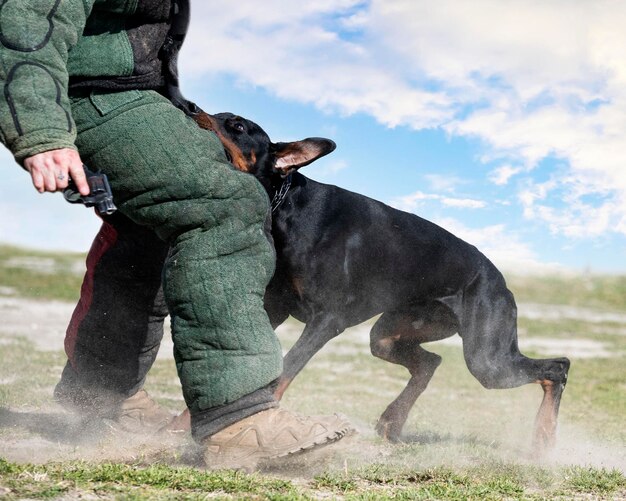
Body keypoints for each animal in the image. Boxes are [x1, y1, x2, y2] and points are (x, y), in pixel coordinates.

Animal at [178, 112, 568, 450]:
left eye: (237, 125)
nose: (191, 108)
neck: (285, 204)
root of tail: (501, 282)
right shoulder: (276, 308)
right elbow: (241, 367)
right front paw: (186, 424)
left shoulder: (326, 320)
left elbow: (285, 369)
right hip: (389, 334)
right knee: (429, 363)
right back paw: (392, 421)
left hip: (488, 360)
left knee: (558, 368)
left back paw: (543, 439)